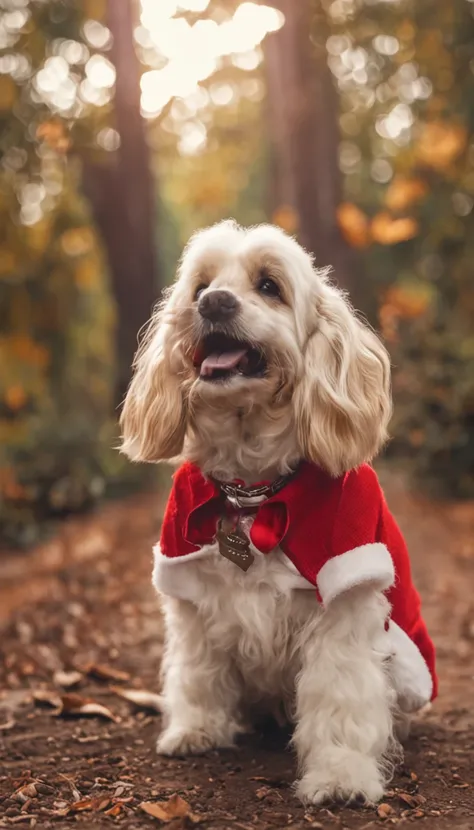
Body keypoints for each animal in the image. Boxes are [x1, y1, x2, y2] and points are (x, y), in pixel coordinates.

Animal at [119, 221, 436, 808]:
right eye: (200, 287)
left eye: (269, 286)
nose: (214, 303)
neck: (253, 493)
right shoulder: (191, 591)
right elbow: (197, 670)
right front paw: (197, 728)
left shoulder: (341, 602)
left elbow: (339, 697)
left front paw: (339, 775)